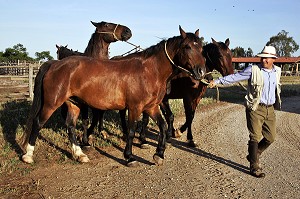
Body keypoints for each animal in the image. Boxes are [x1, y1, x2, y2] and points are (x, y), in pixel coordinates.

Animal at [21, 26, 207, 166]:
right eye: (188, 47)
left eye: (201, 48)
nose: (201, 72)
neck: (149, 71)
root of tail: (54, 64)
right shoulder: (135, 107)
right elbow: (131, 131)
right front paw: (130, 157)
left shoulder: (151, 107)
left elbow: (162, 126)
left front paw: (159, 154)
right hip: (51, 103)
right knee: (38, 123)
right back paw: (28, 155)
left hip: (74, 104)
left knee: (70, 126)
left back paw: (79, 154)